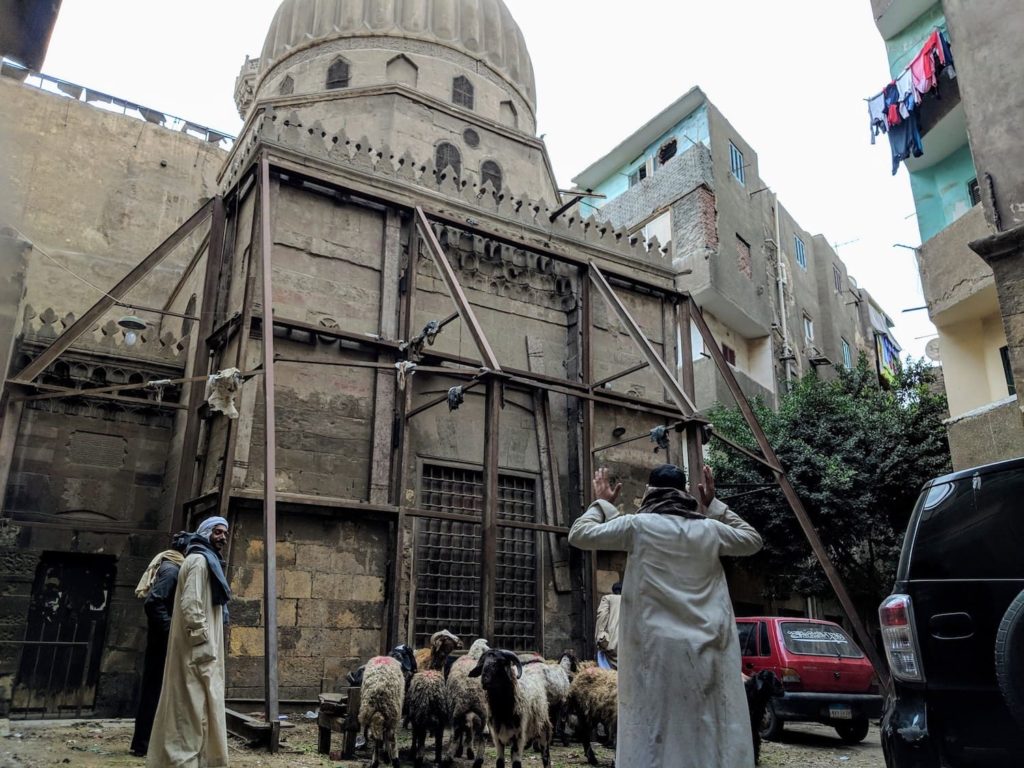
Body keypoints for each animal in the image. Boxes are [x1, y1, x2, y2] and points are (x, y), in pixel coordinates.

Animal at [442, 638, 489, 768]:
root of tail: (471, 692)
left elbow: (465, 730)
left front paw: (461, 751)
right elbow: (469, 729)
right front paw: (468, 751)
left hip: (456, 710)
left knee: (456, 733)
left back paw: (449, 758)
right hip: (483, 711)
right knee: (483, 735)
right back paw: (478, 760)